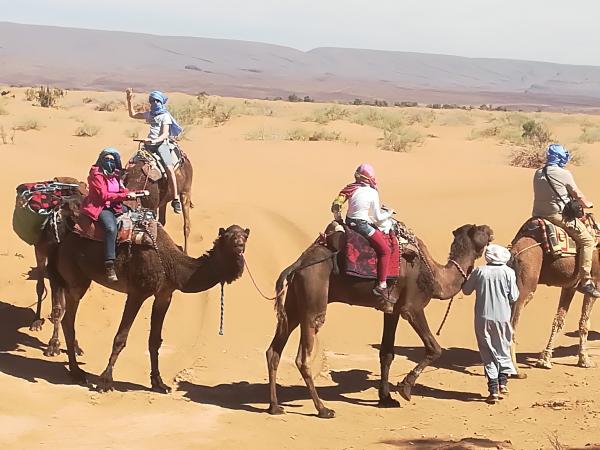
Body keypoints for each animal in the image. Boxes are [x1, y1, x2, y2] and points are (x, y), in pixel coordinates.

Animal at [46, 223, 248, 392]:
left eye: (245, 237)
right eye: (229, 237)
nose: (239, 247)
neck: (171, 264)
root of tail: (61, 242)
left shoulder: (164, 295)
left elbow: (154, 340)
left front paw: (159, 383)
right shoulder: (138, 293)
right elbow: (120, 338)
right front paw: (106, 381)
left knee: (67, 318)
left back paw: (75, 370)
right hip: (75, 278)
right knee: (68, 319)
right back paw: (76, 372)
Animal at [268, 222, 492, 418]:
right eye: (480, 229)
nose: (490, 230)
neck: (436, 276)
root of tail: (297, 263)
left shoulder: (392, 310)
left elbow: (387, 353)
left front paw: (386, 399)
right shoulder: (412, 307)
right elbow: (435, 348)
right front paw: (405, 388)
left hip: (295, 301)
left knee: (274, 350)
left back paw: (275, 407)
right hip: (313, 293)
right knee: (303, 355)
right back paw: (323, 409)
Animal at [508, 219, 596, 370]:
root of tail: (515, 251)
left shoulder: (569, 286)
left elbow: (559, 321)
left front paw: (544, 360)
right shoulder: (595, 284)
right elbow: (584, 323)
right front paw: (585, 360)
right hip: (526, 286)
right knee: (512, 324)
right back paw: (514, 369)